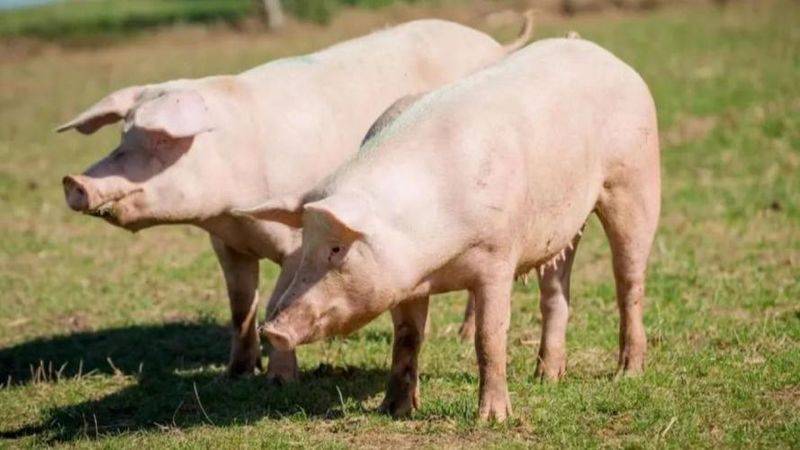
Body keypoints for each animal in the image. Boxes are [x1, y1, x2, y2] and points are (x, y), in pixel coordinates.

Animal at [58, 15, 536, 382]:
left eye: (159, 139)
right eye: (123, 135)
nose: (74, 181)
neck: (231, 206)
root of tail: (495, 42)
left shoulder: (294, 242)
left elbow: (274, 302)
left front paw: (280, 380)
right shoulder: (226, 243)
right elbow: (240, 307)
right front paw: (237, 373)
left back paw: (461, 335)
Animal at [239, 37, 661, 421]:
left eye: (337, 249)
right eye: (306, 243)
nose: (272, 329)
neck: (434, 259)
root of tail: (604, 54)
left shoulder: (497, 256)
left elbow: (489, 338)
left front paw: (493, 419)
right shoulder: (404, 280)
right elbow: (408, 337)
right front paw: (393, 410)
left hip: (635, 178)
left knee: (629, 280)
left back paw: (628, 373)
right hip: (563, 224)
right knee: (556, 291)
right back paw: (546, 377)